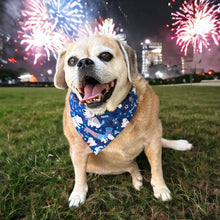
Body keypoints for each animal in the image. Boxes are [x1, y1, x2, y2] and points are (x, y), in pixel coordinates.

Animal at [53, 34, 192, 208]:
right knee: (131, 165)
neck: (108, 116)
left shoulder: (153, 139)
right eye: (72, 60)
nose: (83, 62)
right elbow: (79, 176)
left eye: (106, 55)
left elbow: (157, 168)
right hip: (104, 167)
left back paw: (181, 145)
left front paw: (160, 188)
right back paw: (137, 177)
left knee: (160, 144)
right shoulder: (78, 152)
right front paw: (78, 194)